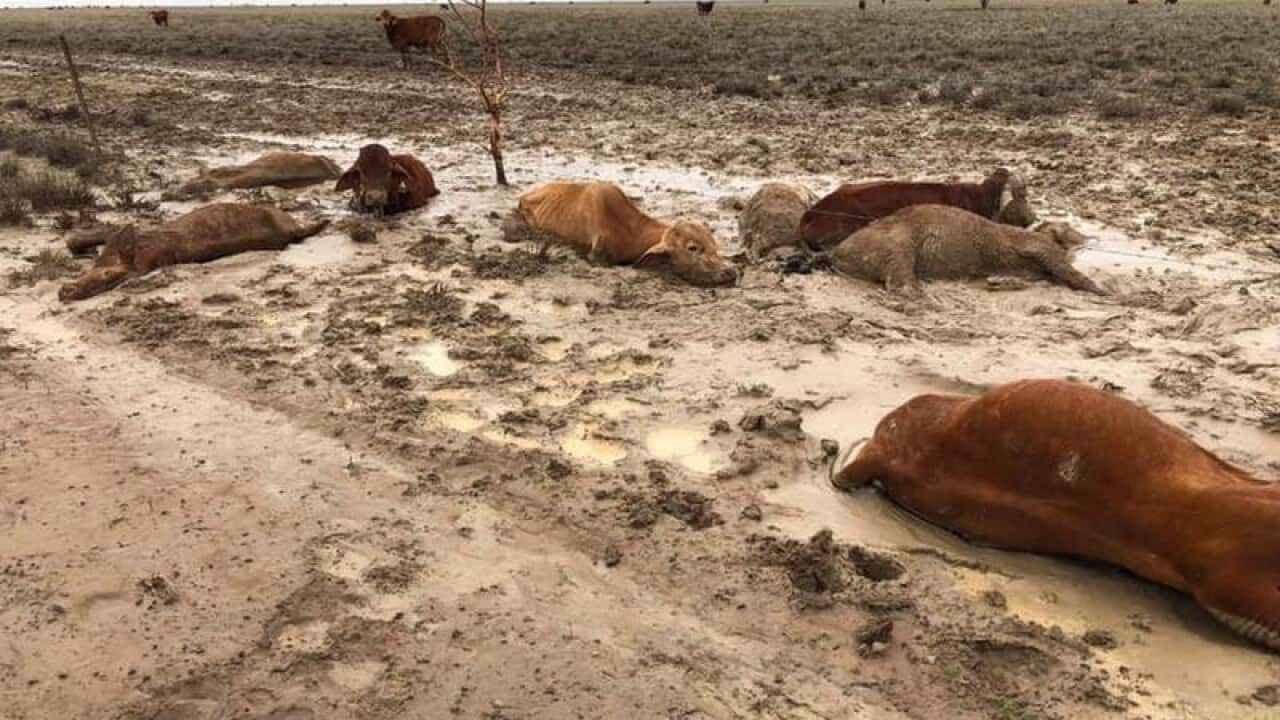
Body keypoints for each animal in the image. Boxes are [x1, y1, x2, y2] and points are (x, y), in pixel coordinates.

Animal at [501, 181, 739, 287]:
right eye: (693, 248)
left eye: (714, 243)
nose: (730, 272)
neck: (630, 230)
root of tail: (526, 195)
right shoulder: (596, 254)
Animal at [830, 205, 1104, 296]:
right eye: (1068, 226)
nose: (1093, 238)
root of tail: (835, 253)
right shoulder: (1040, 246)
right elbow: (1070, 272)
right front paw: (1108, 293)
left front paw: (998, 281)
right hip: (895, 240)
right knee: (900, 274)